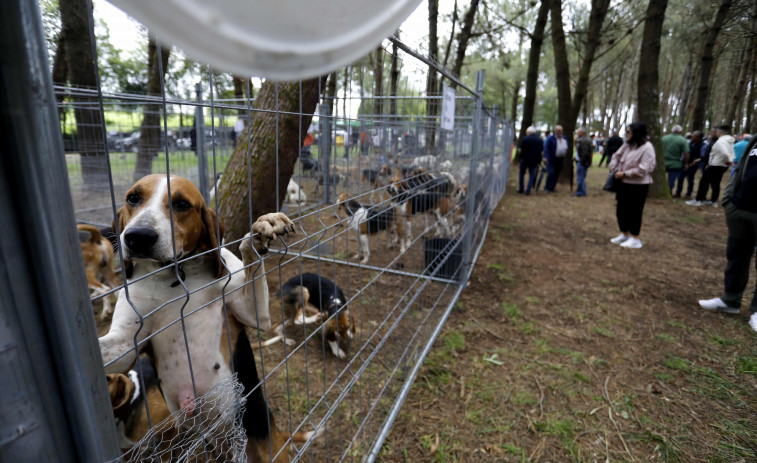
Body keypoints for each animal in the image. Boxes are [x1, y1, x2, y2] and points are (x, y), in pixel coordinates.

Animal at [99, 175, 300, 463]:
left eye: (182, 204)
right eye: (133, 198)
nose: (138, 236)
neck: (173, 276)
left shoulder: (254, 314)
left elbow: (248, 252)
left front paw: (263, 228)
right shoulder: (125, 345)